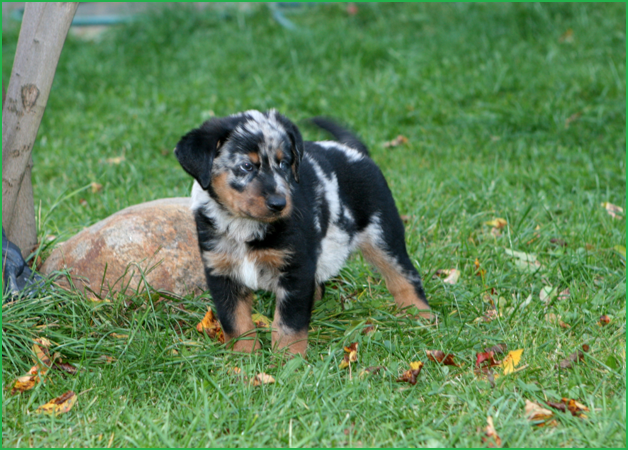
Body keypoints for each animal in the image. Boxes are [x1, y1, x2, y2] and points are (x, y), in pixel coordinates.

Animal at [174, 110, 430, 356]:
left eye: (284, 163)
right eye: (247, 166)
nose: (279, 204)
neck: (243, 226)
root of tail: (352, 150)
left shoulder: (295, 269)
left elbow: (289, 323)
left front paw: (288, 360)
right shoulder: (221, 271)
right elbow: (236, 322)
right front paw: (243, 358)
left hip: (382, 233)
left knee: (405, 276)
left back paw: (421, 317)